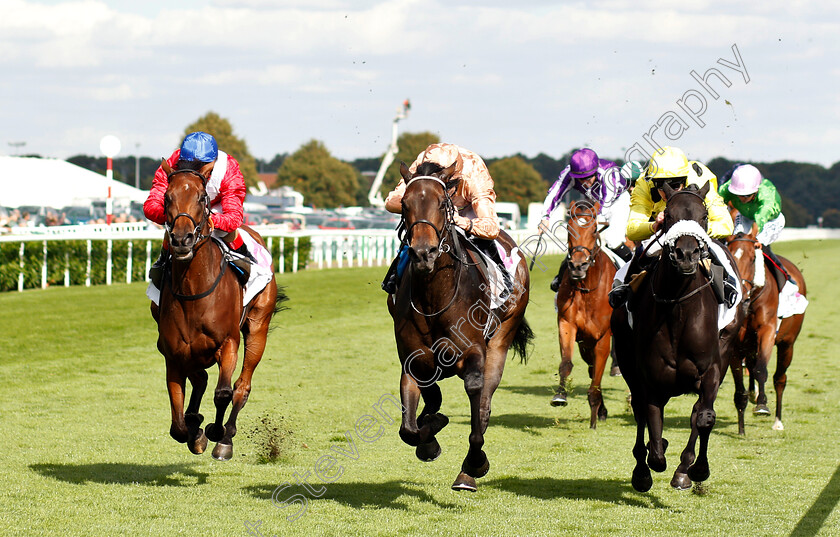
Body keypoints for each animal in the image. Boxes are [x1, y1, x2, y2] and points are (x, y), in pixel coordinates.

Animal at [149, 161, 284, 458]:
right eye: (167, 198)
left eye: (202, 197)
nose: (182, 239)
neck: (192, 293)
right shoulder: (173, 353)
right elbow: (178, 424)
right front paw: (195, 431)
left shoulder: (228, 342)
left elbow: (223, 393)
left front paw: (215, 431)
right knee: (200, 379)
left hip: (258, 327)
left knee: (241, 387)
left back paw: (226, 437)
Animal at [390, 159, 536, 490]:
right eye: (404, 203)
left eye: (442, 203)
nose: (424, 253)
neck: (435, 298)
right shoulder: (413, 359)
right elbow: (411, 425)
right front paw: (430, 436)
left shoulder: (474, 354)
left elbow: (475, 400)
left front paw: (474, 463)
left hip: (502, 337)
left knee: (484, 405)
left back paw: (468, 471)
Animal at [612, 183, 740, 490]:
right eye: (668, 215)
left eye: (704, 216)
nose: (686, 255)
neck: (679, 309)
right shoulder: (651, 379)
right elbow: (655, 441)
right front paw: (646, 467)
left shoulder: (711, 370)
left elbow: (704, 417)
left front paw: (695, 469)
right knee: (640, 411)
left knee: (697, 412)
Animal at [724, 228, 804, 434]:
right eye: (730, 258)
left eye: (753, 258)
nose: (741, 294)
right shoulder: (735, 344)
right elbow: (740, 387)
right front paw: (741, 428)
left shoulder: (767, 332)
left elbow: (761, 369)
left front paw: (762, 404)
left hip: (787, 344)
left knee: (779, 378)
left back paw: (777, 420)